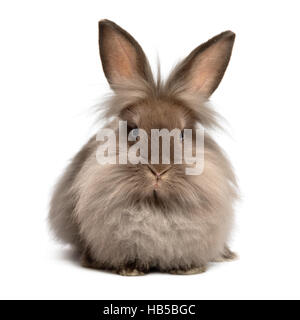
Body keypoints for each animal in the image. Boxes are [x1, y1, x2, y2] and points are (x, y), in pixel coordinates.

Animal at [50, 19, 240, 276]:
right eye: (132, 130)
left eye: (183, 134)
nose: (158, 171)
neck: (155, 205)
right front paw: (129, 269)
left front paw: (189, 268)